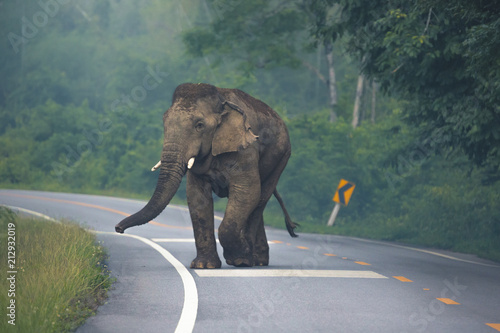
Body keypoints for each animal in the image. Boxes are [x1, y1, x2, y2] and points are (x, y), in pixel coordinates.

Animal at [115, 82, 296, 268]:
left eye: (199, 125)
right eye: (164, 122)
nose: (118, 229)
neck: (222, 102)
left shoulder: (246, 148)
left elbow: (247, 191)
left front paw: (238, 260)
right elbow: (197, 196)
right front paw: (204, 266)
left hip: (282, 157)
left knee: (260, 199)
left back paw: (249, 259)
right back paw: (259, 261)